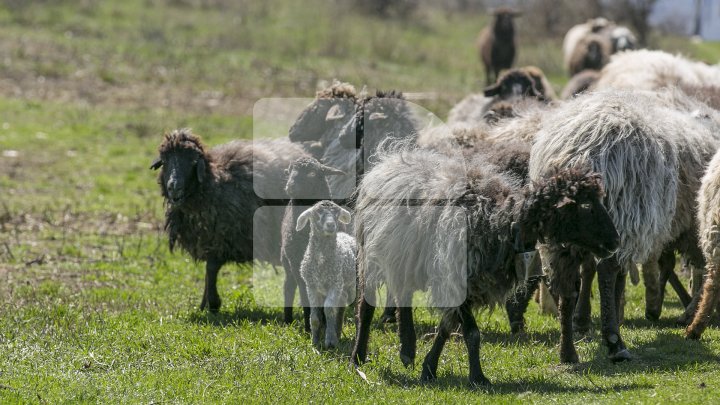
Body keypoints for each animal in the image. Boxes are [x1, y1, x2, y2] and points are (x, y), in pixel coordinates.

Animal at [150, 128, 308, 310]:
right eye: (165, 160)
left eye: (193, 161)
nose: (174, 187)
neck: (213, 184)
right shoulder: (210, 240)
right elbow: (208, 271)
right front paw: (204, 303)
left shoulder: (223, 239)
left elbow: (211, 268)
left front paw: (213, 303)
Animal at [280, 156, 344, 330]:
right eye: (289, 171)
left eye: (312, 173)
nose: (290, 186)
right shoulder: (297, 264)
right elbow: (305, 294)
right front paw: (310, 326)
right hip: (287, 262)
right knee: (288, 287)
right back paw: (287, 320)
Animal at [296, 199, 358, 348]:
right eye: (316, 212)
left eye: (337, 213)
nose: (331, 225)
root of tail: (347, 236)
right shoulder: (311, 286)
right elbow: (314, 316)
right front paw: (315, 341)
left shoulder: (335, 284)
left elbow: (329, 309)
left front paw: (330, 341)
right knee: (341, 305)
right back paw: (338, 332)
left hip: (350, 285)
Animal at [350, 143, 620, 386]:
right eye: (586, 207)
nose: (615, 242)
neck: (499, 221)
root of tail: (386, 161)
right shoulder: (456, 278)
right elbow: (472, 333)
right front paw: (478, 378)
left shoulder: (472, 282)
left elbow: (446, 328)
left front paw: (429, 368)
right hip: (371, 257)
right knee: (366, 307)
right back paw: (358, 357)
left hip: (404, 260)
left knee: (403, 296)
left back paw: (407, 349)